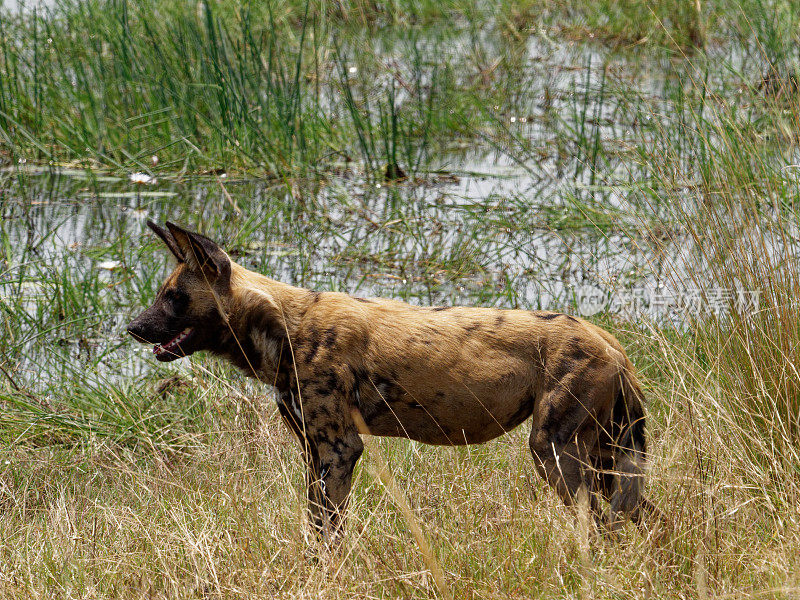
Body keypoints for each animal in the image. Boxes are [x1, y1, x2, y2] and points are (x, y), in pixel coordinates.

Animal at [128, 223, 660, 540]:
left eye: (174, 298)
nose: (132, 327)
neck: (284, 326)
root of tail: (610, 342)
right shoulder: (314, 452)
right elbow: (316, 527)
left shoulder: (338, 450)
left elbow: (326, 536)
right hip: (605, 456)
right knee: (644, 518)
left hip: (553, 450)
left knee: (600, 526)